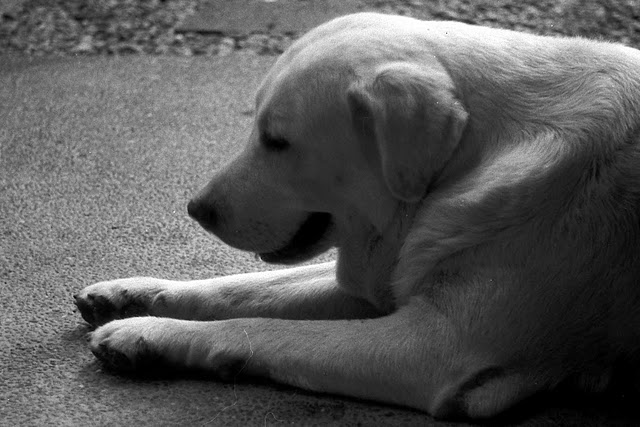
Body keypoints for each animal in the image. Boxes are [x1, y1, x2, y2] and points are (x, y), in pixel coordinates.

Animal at [74, 12, 640, 422]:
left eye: (277, 141)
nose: (196, 208)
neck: (469, 160)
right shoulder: (375, 278)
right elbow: (236, 289)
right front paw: (131, 296)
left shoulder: (439, 350)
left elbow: (263, 328)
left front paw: (150, 333)